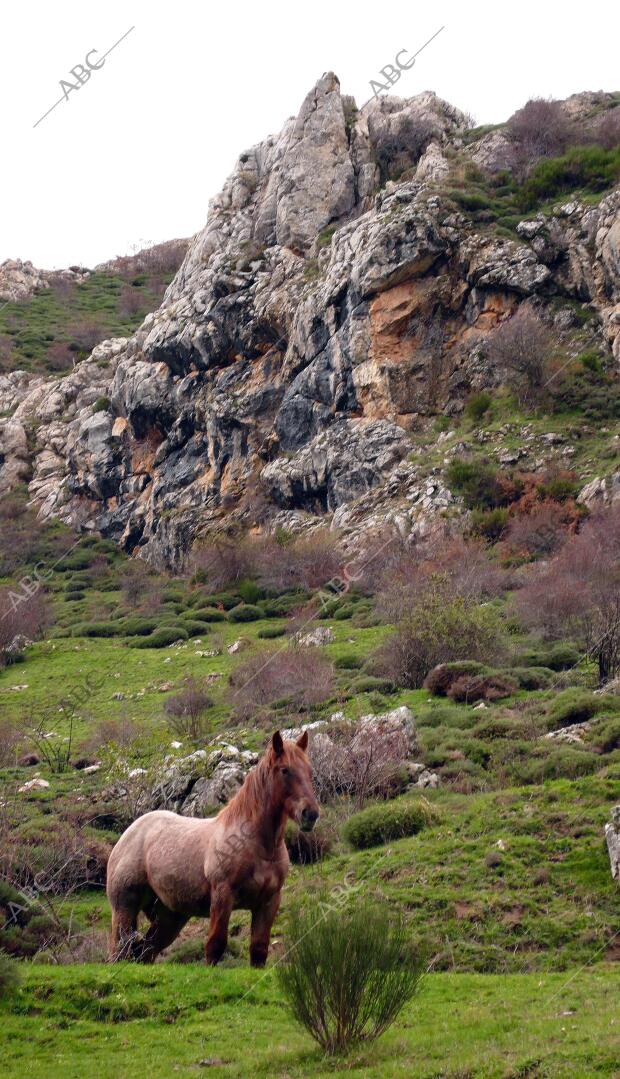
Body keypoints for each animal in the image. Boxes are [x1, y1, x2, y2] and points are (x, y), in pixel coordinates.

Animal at [106, 729, 319, 966]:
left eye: (309, 770)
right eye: (285, 770)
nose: (310, 814)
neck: (259, 847)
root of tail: (128, 834)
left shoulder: (268, 902)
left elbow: (259, 950)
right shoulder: (222, 896)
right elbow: (215, 945)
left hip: (170, 916)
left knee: (145, 951)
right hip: (124, 909)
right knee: (119, 951)